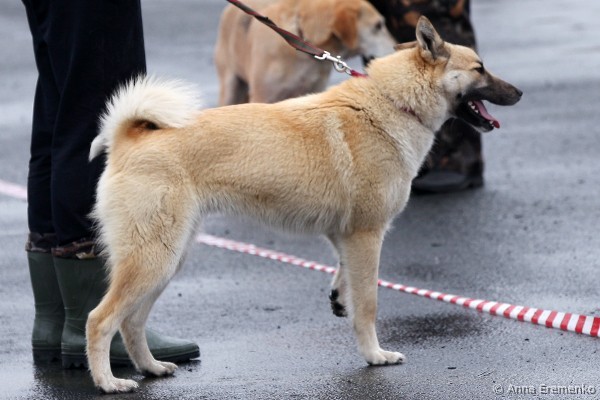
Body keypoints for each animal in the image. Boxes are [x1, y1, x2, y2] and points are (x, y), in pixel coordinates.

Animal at [86, 17, 521, 393]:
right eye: (480, 68)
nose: (518, 93)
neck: (391, 104)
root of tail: (129, 137)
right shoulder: (367, 236)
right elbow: (369, 304)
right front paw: (375, 355)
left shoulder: (345, 236)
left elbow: (345, 280)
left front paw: (339, 298)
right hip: (153, 259)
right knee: (101, 320)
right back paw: (108, 382)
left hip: (167, 261)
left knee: (132, 322)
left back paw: (151, 368)